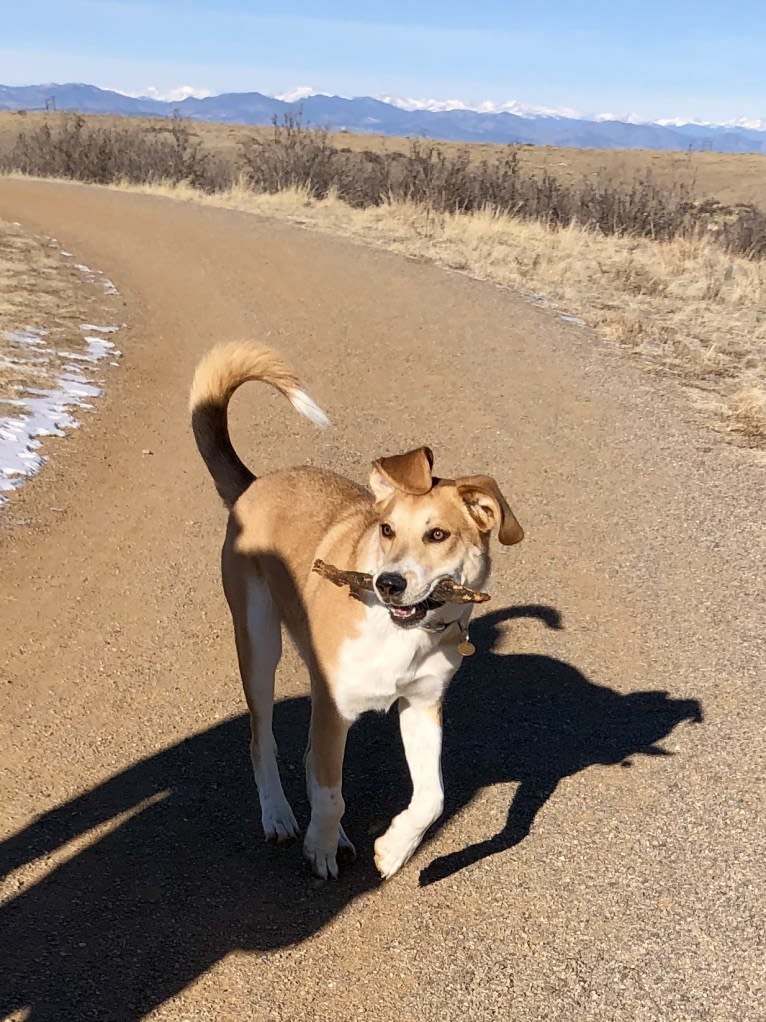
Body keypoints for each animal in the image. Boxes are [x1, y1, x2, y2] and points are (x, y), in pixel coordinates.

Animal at [192, 343, 527, 878]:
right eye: (387, 529)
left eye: (438, 534)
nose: (389, 585)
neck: (401, 636)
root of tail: (254, 484)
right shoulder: (335, 706)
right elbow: (331, 793)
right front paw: (321, 848)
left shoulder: (422, 705)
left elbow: (432, 798)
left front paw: (393, 849)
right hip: (259, 644)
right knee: (263, 739)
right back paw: (280, 816)